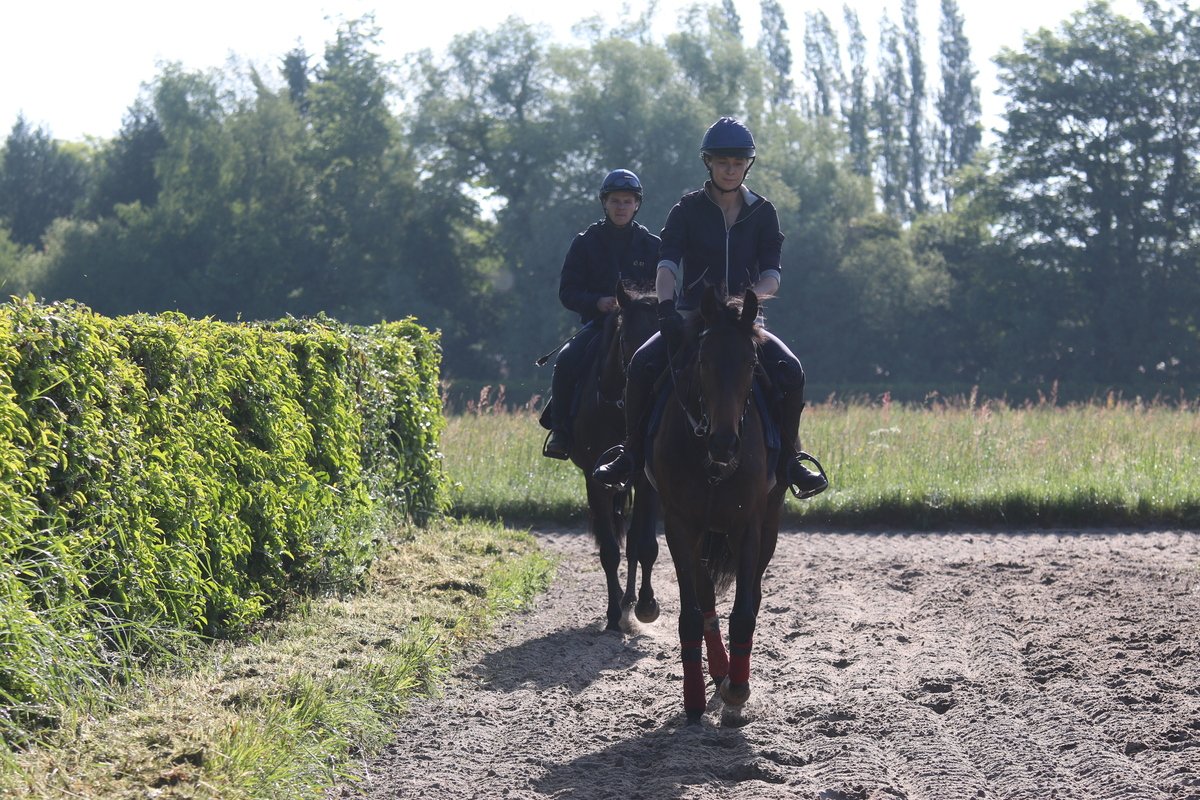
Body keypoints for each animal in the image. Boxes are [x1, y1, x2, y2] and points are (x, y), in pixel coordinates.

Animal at [568, 282, 662, 631]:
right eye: (624, 339)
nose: (646, 378)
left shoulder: (646, 483)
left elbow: (644, 544)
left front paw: (646, 605)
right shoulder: (595, 480)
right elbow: (609, 550)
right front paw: (611, 615)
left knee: (633, 541)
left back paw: (630, 600)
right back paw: (621, 601)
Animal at [648, 285, 786, 724]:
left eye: (751, 362)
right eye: (704, 360)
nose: (725, 443)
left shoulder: (750, 526)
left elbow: (744, 611)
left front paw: (738, 689)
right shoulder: (679, 525)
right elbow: (692, 612)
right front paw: (694, 695)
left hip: (768, 525)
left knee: (751, 592)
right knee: (705, 596)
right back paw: (719, 667)